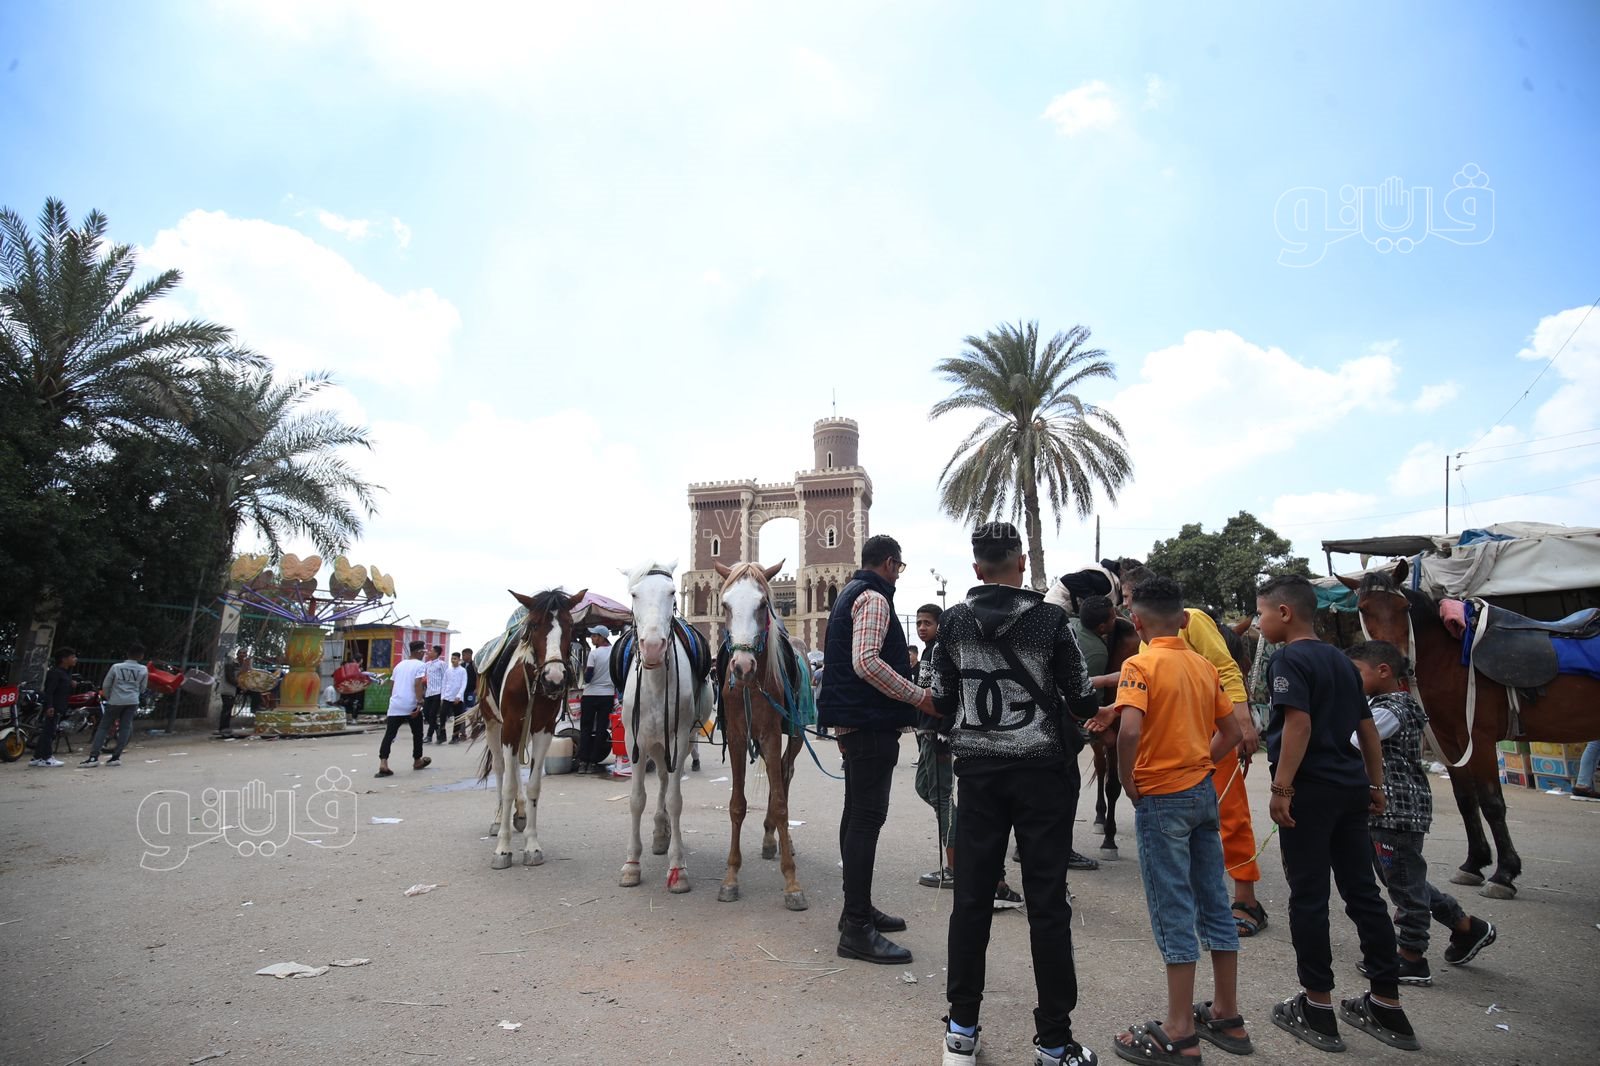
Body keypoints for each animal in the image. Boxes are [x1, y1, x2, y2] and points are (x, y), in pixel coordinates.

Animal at [471, 587, 586, 870]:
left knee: (515, 770)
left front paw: (532, 845)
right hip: (493, 724)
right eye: (534, 625)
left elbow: (533, 784)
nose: (554, 678)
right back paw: (499, 818)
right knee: (501, 769)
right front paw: (503, 849)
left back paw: (520, 813)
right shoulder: (510, 725)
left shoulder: (543, 728)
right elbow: (508, 785)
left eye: (569, 625)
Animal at [616, 560, 714, 894]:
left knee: (666, 780)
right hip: (654, 743)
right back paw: (660, 832)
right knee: (659, 777)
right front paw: (631, 864)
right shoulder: (634, 740)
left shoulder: (679, 738)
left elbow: (675, 800)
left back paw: (664, 832)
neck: (656, 682)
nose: (653, 647)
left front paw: (678, 868)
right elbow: (636, 800)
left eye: (671, 592)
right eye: (634, 594)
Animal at [713, 559, 811, 911]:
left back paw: (780, 840)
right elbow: (737, 805)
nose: (742, 665)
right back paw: (770, 839)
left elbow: (781, 803)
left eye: (762, 605)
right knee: (775, 775)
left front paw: (792, 883)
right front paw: (730, 877)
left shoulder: (772, 735)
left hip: (795, 734)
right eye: (725, 605)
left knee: (785, 773)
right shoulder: (738, 736)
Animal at [1340, 560, 1600, 898]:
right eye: (1364, 608)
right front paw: (1474, 863)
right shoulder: (1450, 739)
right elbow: (1465, 800)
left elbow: (1491, 803)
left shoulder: (1478, 735)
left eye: (1403, 607)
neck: (1447, 660)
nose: (1400, 662)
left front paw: (1504, 873)